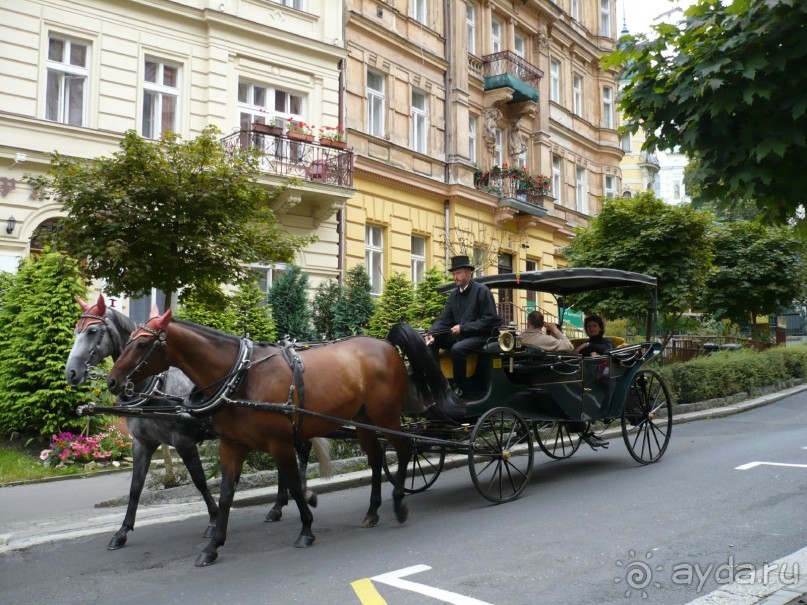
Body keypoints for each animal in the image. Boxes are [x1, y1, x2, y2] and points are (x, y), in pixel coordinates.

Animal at [107, 312, 460, 568]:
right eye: (130, 341)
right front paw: (213, 545)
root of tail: (385, 345)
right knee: (376, 460)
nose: (112, 382)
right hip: (362, 420)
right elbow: (226, 495)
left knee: (404, 450)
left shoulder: (279, 443)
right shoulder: (231, 446)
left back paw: (398, 502)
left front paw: (306, 528)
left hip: (386, 417)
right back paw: (373, 510)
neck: (242, 376)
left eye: (142, 345)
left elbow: (291, 481)